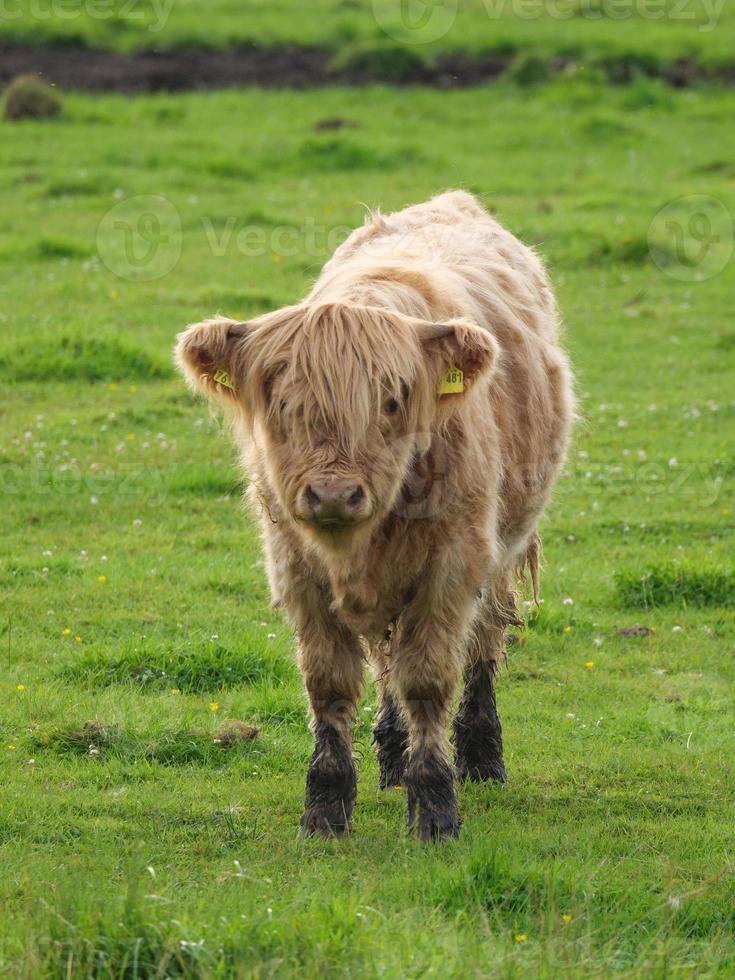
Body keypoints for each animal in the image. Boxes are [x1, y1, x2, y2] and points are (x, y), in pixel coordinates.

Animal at [177, 191, 576, 844]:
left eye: (391, 401)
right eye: (284, 405)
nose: (334, 495)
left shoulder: (452, 566)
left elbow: (429, 680)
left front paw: (436, 806)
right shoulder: (297, 570)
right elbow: (331, 683)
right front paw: (326, 805)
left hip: (498, 552)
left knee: (483, 641)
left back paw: (482, 757)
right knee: (387, 662)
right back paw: (391, 757)